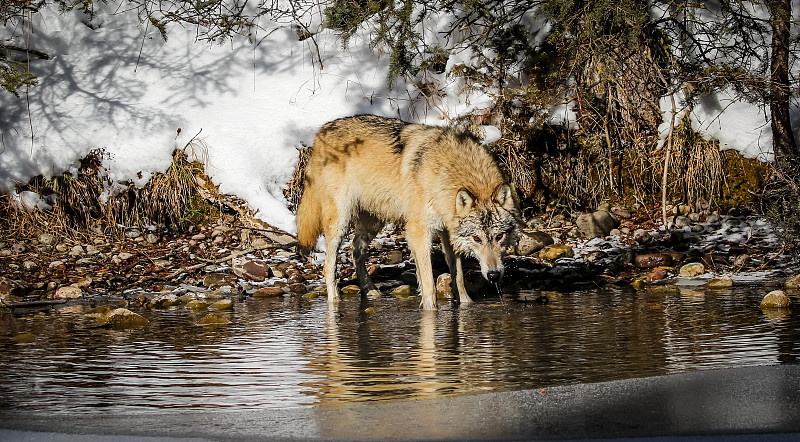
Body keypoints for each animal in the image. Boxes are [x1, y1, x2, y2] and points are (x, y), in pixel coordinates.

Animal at [294, 115, 520, 312]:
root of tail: (321, 132)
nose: (493, 275)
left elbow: (458, 277)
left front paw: (466, 305)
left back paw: (370, 290)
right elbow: (428, 283)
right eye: (477, 238)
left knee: (356, 250)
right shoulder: (418, 231)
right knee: (328, 266)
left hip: (373, 222)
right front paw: (430, 312)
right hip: (340, 221)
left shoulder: (448, 233)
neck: (444, 172)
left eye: (499, 236)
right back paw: (335, 302)